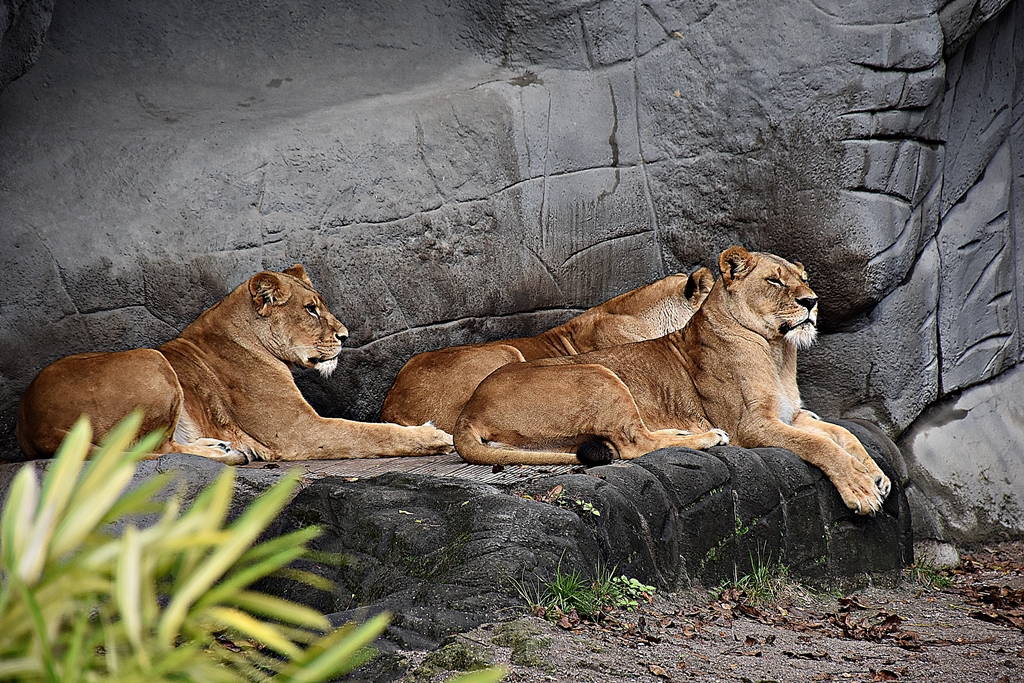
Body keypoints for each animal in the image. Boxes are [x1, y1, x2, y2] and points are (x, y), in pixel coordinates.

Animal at [17, 264, 453, 463]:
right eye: (311, 310)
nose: (345, 337)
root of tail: (32, 420)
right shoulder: (298, 433)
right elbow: (368, 433)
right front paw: (432, 437)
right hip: (151, 360)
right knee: (147, 449)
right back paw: (226, 454)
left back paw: (220, 446)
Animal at [453, 247, 891, 515]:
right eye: (774, 281)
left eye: (803, 278)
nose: (811, 301)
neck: (778, 351)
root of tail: (469, 409)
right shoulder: (751, 425)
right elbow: (820, 444)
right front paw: (861, 489)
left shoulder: (791, 414)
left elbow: (842, 434)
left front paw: (876, 475)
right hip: (600, 373)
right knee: (632, 445)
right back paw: (706, 438)